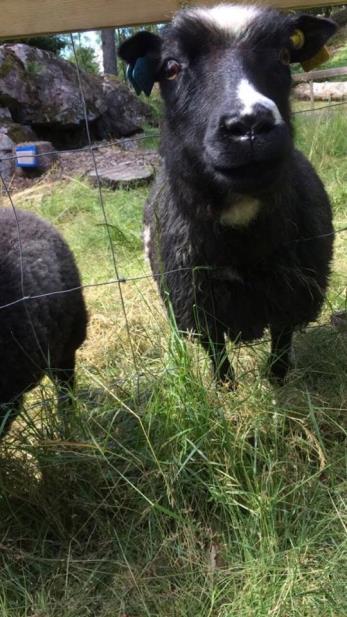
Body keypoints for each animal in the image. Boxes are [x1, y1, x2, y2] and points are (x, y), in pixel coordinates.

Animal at [120, 4, 338, 384]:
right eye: (171, 68)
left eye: (284, 55)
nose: (249, 125)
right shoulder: (196, 305)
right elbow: (215, 350)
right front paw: (225, 385)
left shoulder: (291, 293)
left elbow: (282, 339)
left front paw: (277, 378)